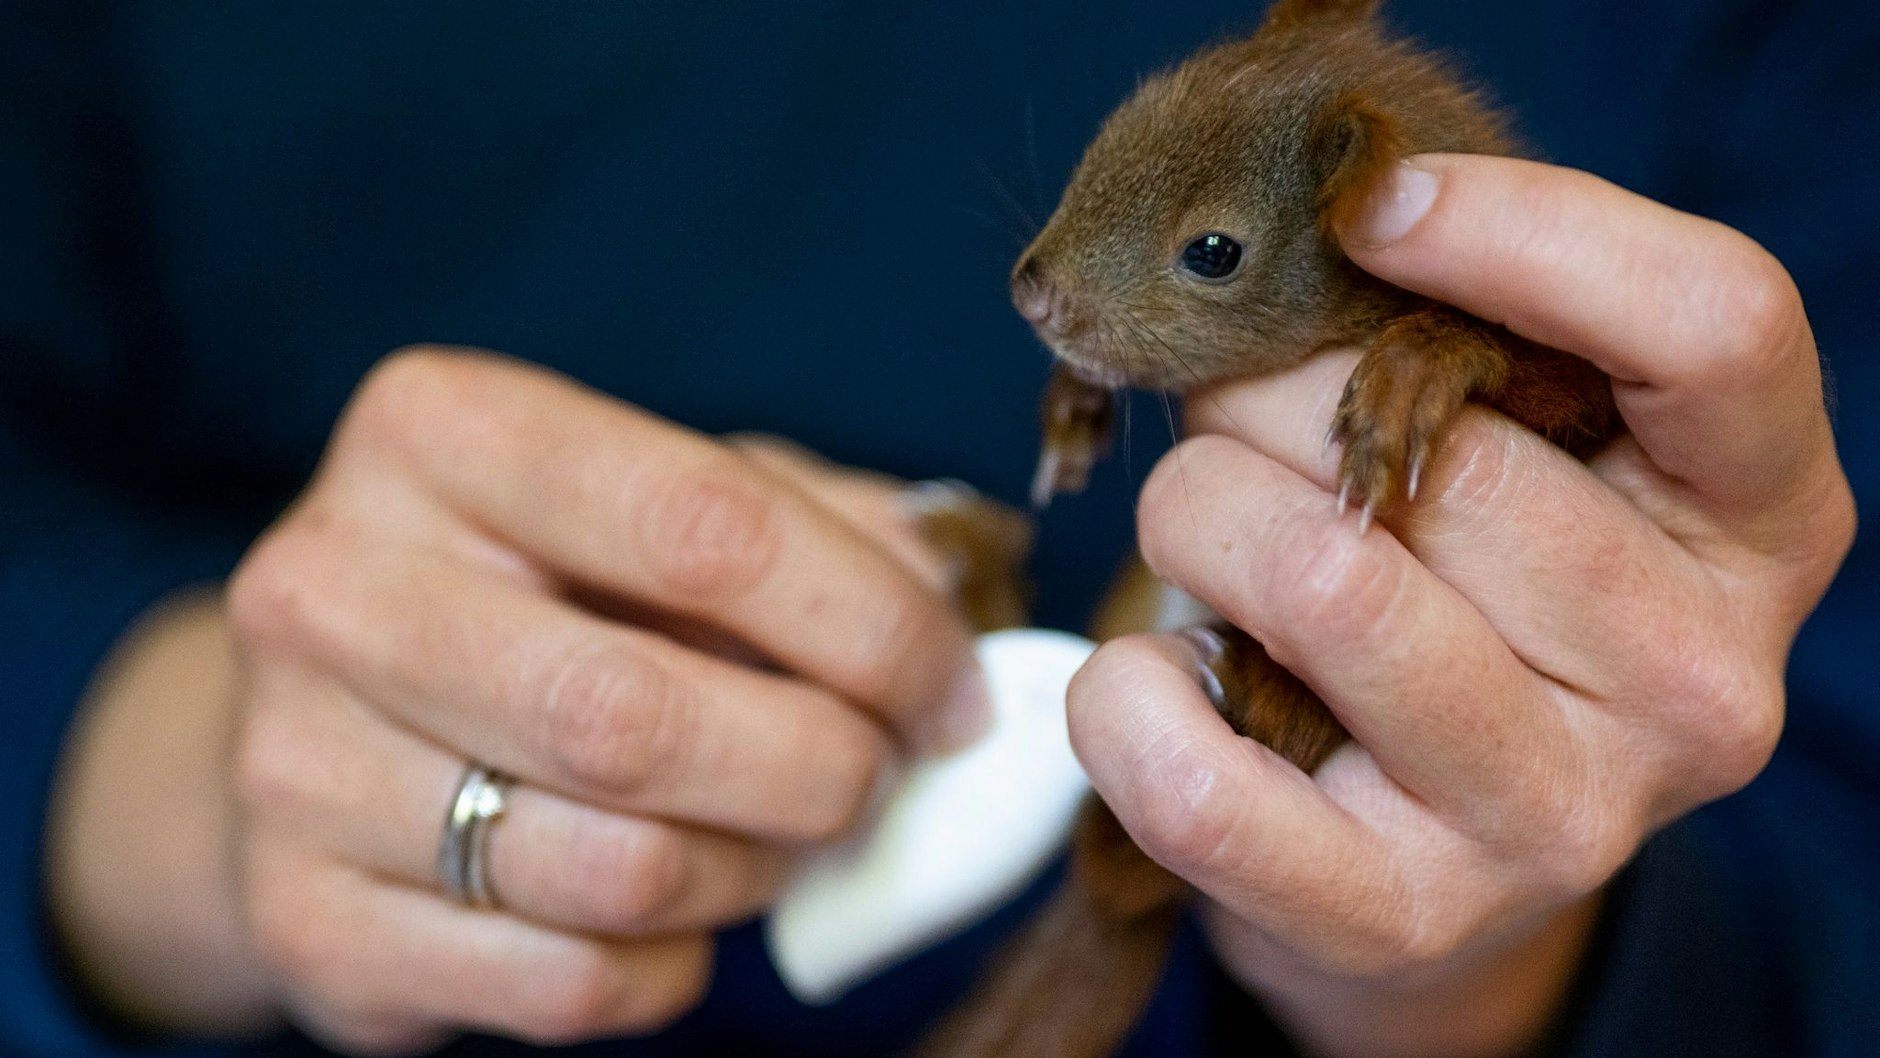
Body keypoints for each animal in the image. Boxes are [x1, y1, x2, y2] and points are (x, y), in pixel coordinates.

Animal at [911, 1, 1620, 1056]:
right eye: (1120, 126)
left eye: (1215, 252)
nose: (1032, 292)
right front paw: (1073, 403)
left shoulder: (1581, 394)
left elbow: (1518, 370)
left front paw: (1411, 374)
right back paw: (970, 559)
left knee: (1128, 864)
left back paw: (1249, 691)